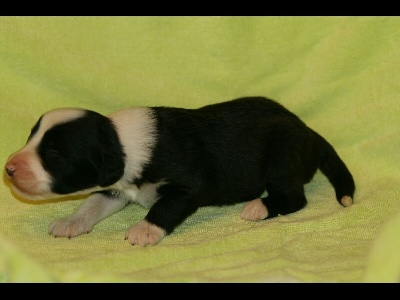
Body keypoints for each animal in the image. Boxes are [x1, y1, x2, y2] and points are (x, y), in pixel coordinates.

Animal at [4, 97, 354, 245]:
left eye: (53, 154)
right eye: (31, 138)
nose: (8, 168)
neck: (120, 140)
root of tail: (308, 130)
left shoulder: (189, 187)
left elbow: (164, 207)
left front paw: (144, 230)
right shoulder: (116, 186)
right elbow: (92, 203)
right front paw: (70, 222)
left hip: (284, 159)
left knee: (294, 198)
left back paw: (257, 208)